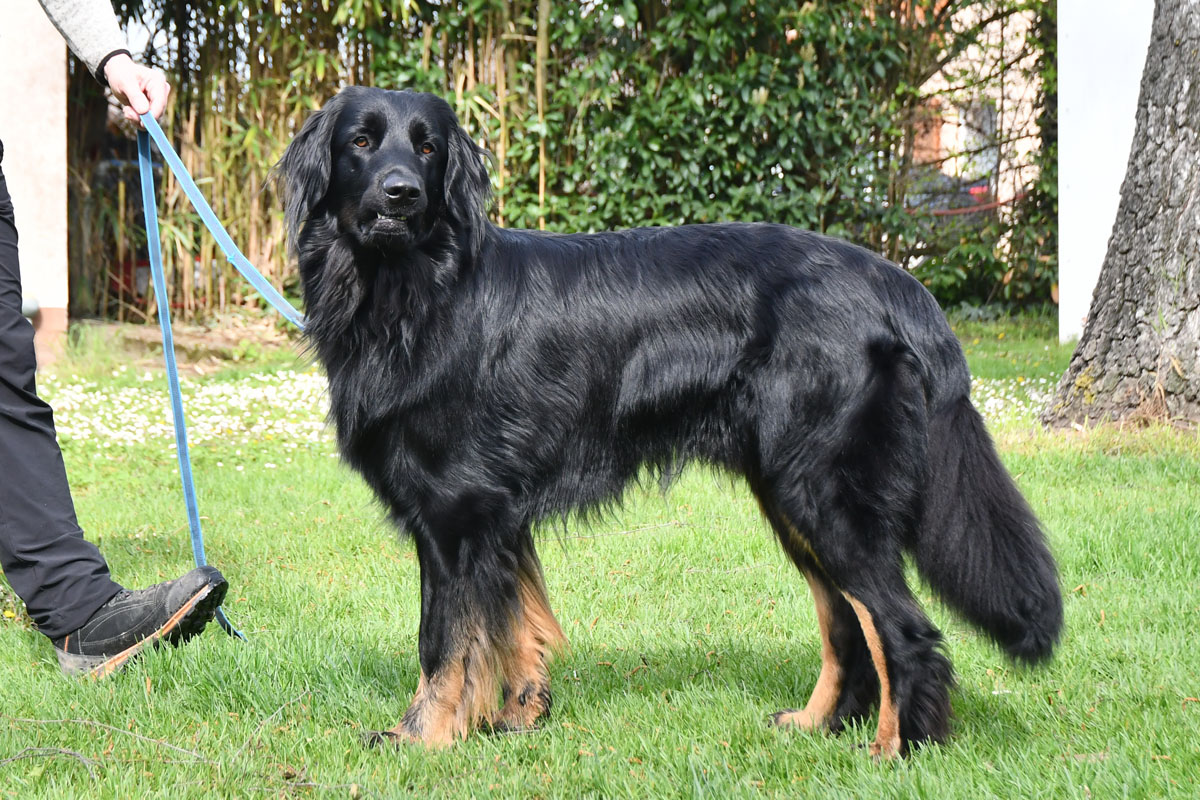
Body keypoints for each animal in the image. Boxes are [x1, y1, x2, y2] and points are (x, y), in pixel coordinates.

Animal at [274, 87, 1060, 758]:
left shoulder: (455, 511)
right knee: (845, 623)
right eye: (361, 142)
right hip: (790, 495)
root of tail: (896, 283)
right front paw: (519, 717)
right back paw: (817, 724)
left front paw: (423, 737)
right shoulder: (499, 514)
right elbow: (514, 625)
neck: (419, 289)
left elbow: (444, 641)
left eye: (428, 147)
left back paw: (895, 750)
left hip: (825, 493)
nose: (401, 193)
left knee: (901, 627)